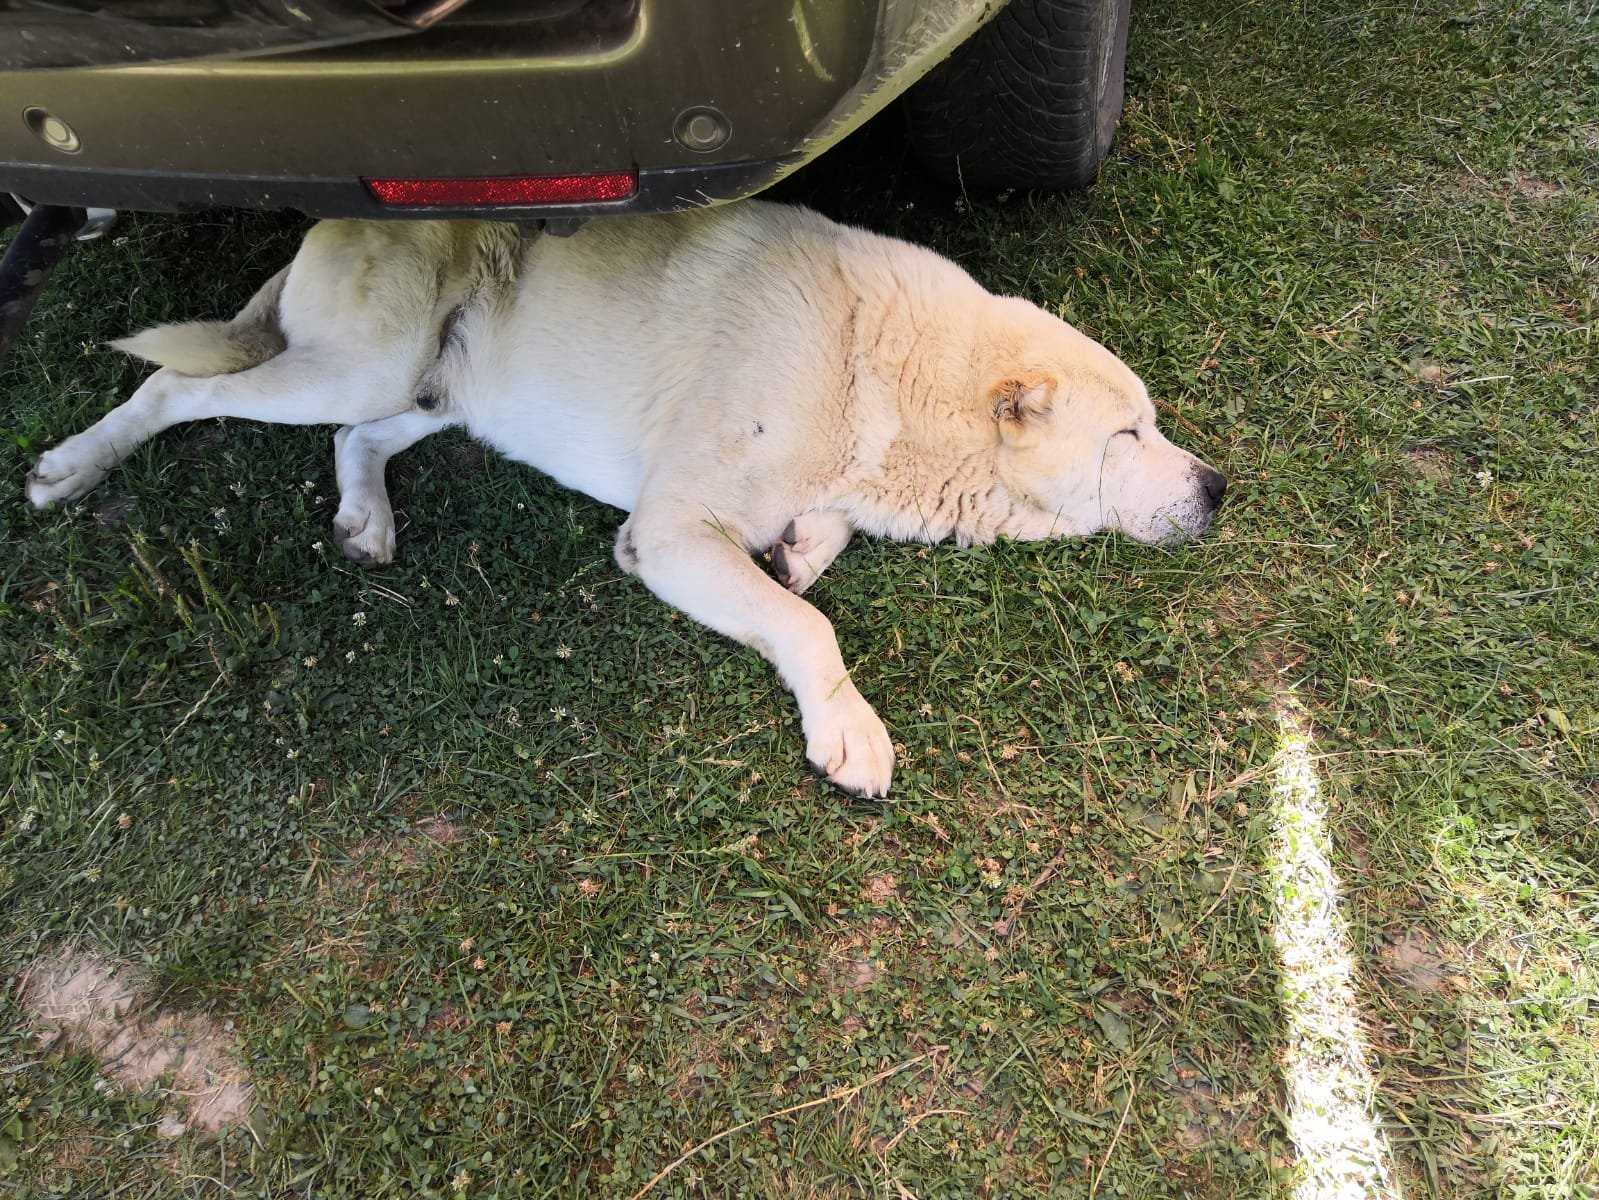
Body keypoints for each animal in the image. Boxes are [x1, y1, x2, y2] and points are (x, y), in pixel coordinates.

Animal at [25, 200, 1225, 798]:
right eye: (1130, 434)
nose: (1219, 487)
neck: (883, 369)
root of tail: (315, 220)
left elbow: (810, 555)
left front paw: (803, 546)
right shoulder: (670, 532)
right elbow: (807, 624)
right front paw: (847, 727)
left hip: (443, 393)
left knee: (358, 440)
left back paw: (367, 518)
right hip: (357, 366)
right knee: (177, 388)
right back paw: (72, 465)